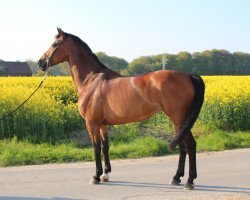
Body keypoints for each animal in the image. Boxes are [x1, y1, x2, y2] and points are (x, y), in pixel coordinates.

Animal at [37, 27, 205, 189]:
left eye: (55, 44)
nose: (40, 63)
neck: (91, 80)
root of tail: (189, 76)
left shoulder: (92, 123)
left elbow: (96, 148)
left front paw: (96, 176)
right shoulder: (102, 124)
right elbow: (105, 146)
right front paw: (105, 175)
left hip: (178, 118)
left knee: (190, 145)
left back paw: (189, 181)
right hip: (179, 121)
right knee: (183, 146)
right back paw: (176, 178)